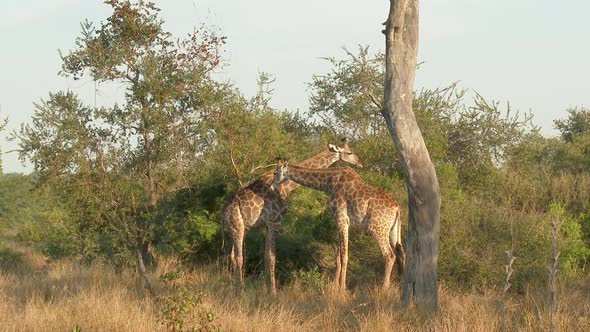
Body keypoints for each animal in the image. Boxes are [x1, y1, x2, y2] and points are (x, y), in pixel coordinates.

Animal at [222, 139, 364, 294]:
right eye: (349, 152)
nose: (359, 163)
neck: (285, 187)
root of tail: (224, 210)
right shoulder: (275, 222)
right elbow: (272, 257)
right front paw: (273, 292)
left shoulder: (268, 225)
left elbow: (266, 257)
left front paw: (266, 289)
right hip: (238, 226)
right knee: (239, 257)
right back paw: (240, 289)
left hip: (238, 228)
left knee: (232, 256)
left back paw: (233, 286)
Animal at [272, 161, 408, 290]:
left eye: (275, 173)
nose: (272, 187)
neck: (329, 183)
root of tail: (397, 208)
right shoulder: (338, 221)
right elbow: (338, 256)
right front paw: (334, 286)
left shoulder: (342, 219)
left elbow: (344, 255)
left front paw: (342, 288)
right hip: (392, 230)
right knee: (401, 252)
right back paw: (401, 284)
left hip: (378, 229)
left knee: (389, 255)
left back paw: (384, 288)